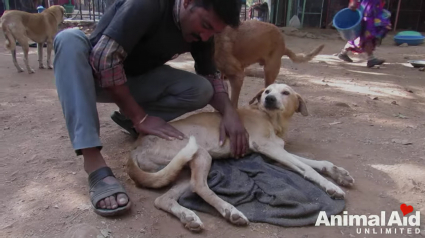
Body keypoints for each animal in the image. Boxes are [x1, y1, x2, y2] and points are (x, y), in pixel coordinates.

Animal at [126, 83, 354, 231]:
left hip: (179, 170)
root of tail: (136, 148)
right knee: (200, 186)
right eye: (267, 91)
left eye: (285, 92)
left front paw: (339, 174)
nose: (269, 98)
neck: (271, 119)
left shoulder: (276, 151)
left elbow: (318, 163)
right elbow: (307, 168)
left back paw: (188, 216)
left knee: (164, 199)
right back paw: (230, 211)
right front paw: (331, 186)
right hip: (199, 153)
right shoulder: (268, 147)